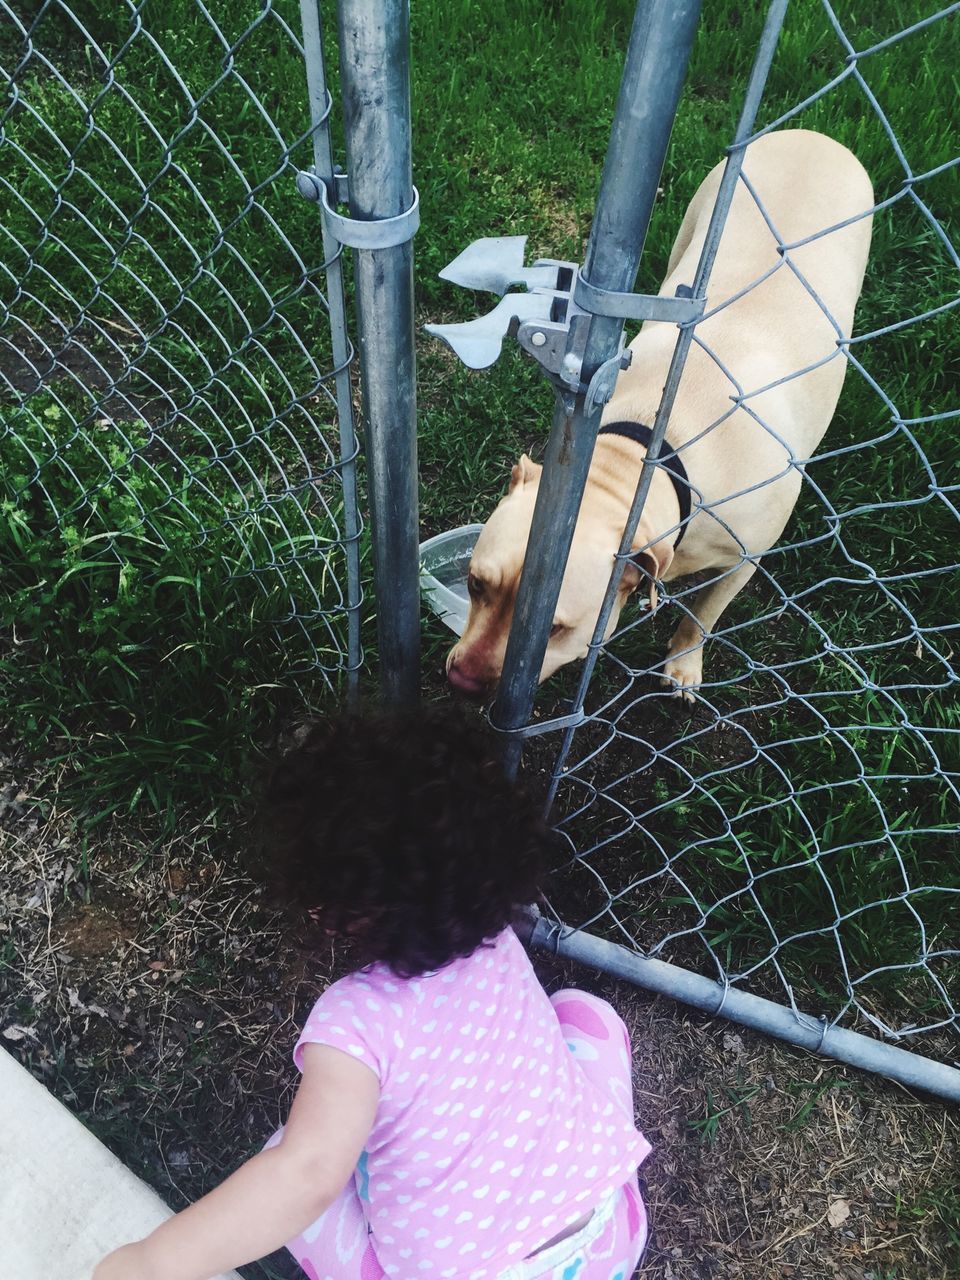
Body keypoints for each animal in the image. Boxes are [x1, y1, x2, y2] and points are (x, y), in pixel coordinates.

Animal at [448, 129, 875, 701]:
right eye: (475, 584)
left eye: (554, 629)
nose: (462, 682)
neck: (649, 455)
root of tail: (813, 133)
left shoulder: (745, 559)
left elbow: (704, 614)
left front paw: (684, 664)